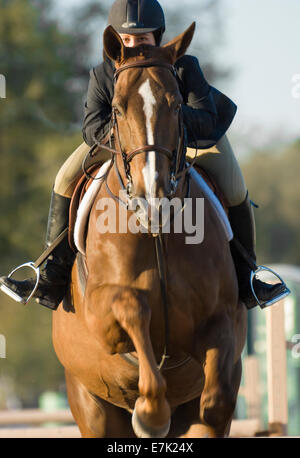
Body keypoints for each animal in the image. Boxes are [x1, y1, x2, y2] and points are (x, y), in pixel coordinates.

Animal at [52, 23, 247, 438]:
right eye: (116, 109)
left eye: (176, 105)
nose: (151, 197)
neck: (156, 234)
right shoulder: (103, 321)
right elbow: (132, 307)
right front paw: (151, 412)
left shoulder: (221, 320)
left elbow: (216, 400)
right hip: (89, 405)